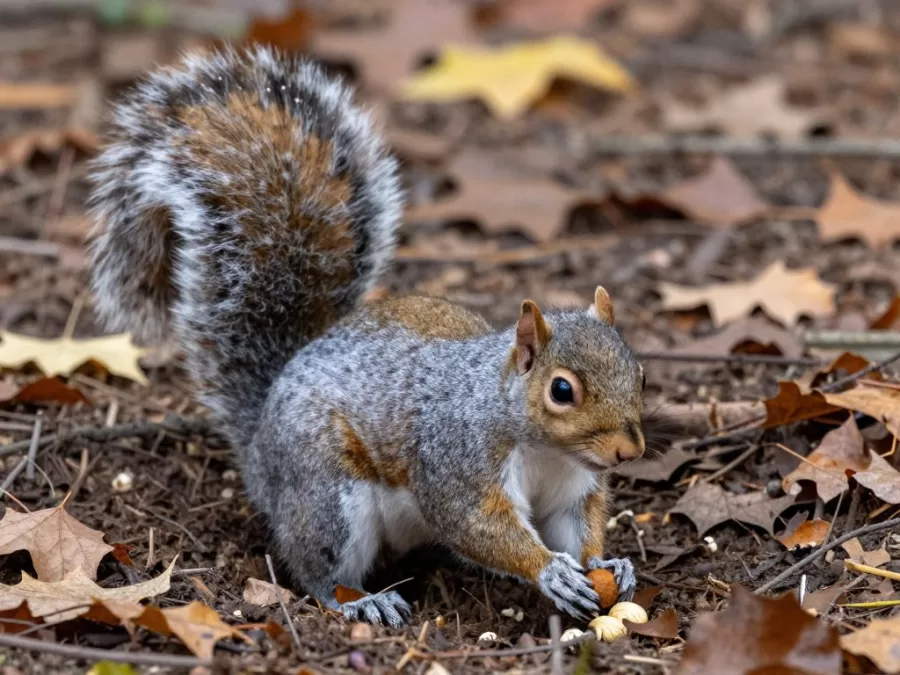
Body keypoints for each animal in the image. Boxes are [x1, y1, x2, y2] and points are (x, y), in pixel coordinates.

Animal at [87, 46, 646, 627]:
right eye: (562, 390)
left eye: (641, 375)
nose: (630, 451)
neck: (543, 449)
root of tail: (259, 445)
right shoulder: (458, 462)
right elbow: (474, 525)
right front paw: (550, 571)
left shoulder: (571, 491)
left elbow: (578, 526)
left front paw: (608, 565)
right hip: (328, 492)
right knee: (316, 569)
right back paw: (361, 601)